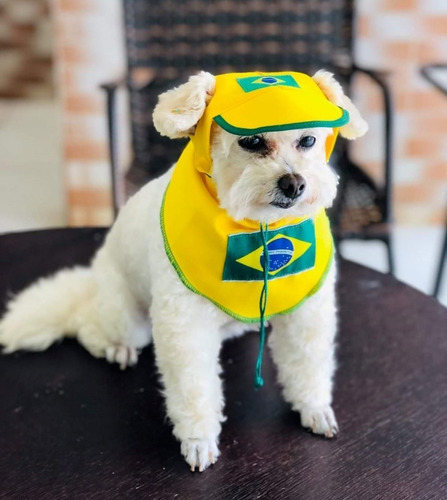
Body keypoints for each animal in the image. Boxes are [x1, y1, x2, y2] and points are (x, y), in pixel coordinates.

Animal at [0, 70, 368, 472]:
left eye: (308, 140)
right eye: (252, 141)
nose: (295, 183)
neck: (257, 227)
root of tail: (93, 282)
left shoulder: (307, 312)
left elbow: (308, 363)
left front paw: (314, 408)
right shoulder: (184, 326)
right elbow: (194, 388)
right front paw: (198, 439)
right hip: (126, 318)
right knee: (87, 325)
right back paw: (116, 348)